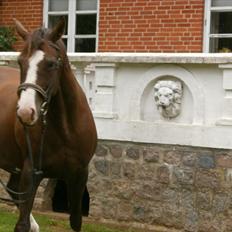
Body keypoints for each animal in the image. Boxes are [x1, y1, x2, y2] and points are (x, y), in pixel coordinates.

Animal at [0, 18, 97, 232]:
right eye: (20, 62)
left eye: (51, 64)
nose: (25, 112)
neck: (66, 129)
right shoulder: (30, 174)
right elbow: (22, 223)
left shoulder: (79, 176)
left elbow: (75, 221)